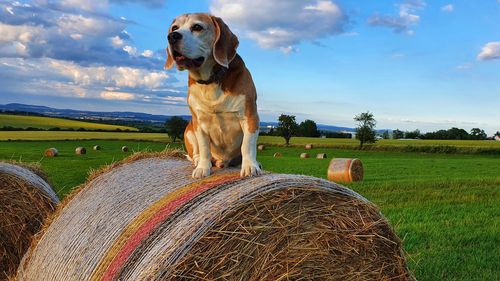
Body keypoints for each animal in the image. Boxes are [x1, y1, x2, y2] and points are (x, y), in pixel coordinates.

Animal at [166, 13, 264, 178]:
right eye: (175, 28)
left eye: (197, 27)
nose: (172, 36)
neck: (210, 81)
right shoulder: (198, 122)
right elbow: (204, 147)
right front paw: (202, 168)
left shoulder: (250, 117)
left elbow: (247, 145)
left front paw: (250, 166)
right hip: (189, 130)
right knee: (195, 152)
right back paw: (198, 160)